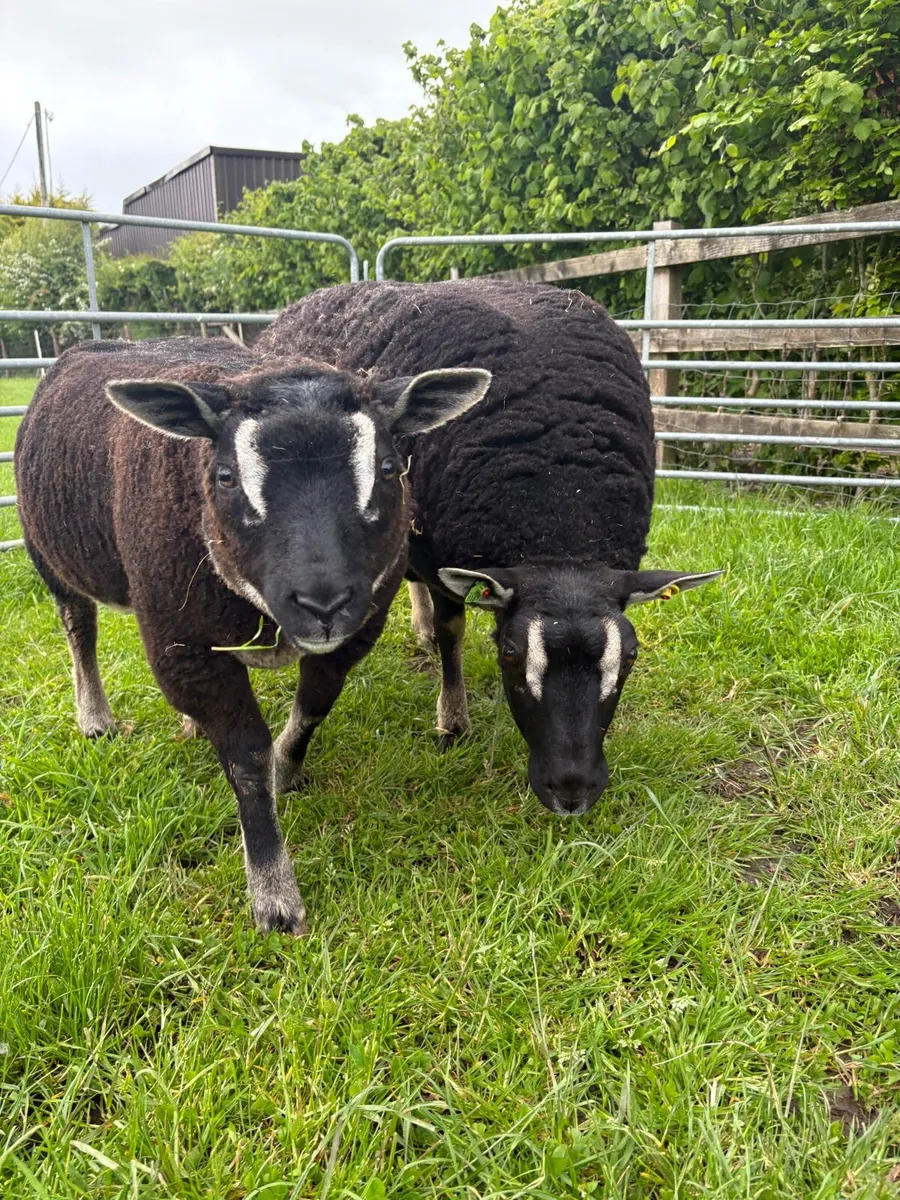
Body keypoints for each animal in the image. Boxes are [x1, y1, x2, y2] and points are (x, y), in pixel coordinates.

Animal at [14, 336, 490, 932]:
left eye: (387, 467)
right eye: (225, 477)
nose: (323, 604)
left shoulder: (354, 633)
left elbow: (312, 707)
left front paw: (287, 767)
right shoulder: (183, 643)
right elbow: (246, 760)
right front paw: (274, 895)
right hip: (49, 556)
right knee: (80, 629)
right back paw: (96, 718)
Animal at [258, 280, 721, 816]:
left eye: (630, 656)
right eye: (510, 654)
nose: (572, 793)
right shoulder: (440, 555)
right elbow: (452, 633)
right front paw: (453, 722)